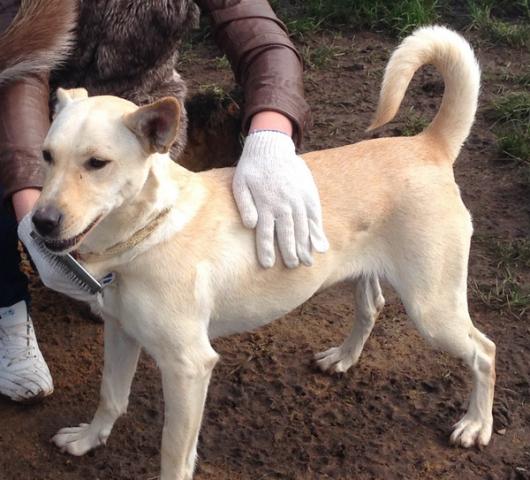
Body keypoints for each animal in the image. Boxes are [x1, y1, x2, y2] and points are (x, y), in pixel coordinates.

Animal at [29, 26, 495, 480]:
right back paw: (343, 359)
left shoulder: (189, 367)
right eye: (46, 155)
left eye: (97, 163)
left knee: (485, 352)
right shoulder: (121, 332)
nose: (40, 222)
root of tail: (428, 144)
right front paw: (89, 439)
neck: (146, 235)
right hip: (365, 275)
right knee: (372, 307)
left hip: (432, 309)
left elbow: (173, 454)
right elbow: (110, 396)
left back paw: (476, 425)